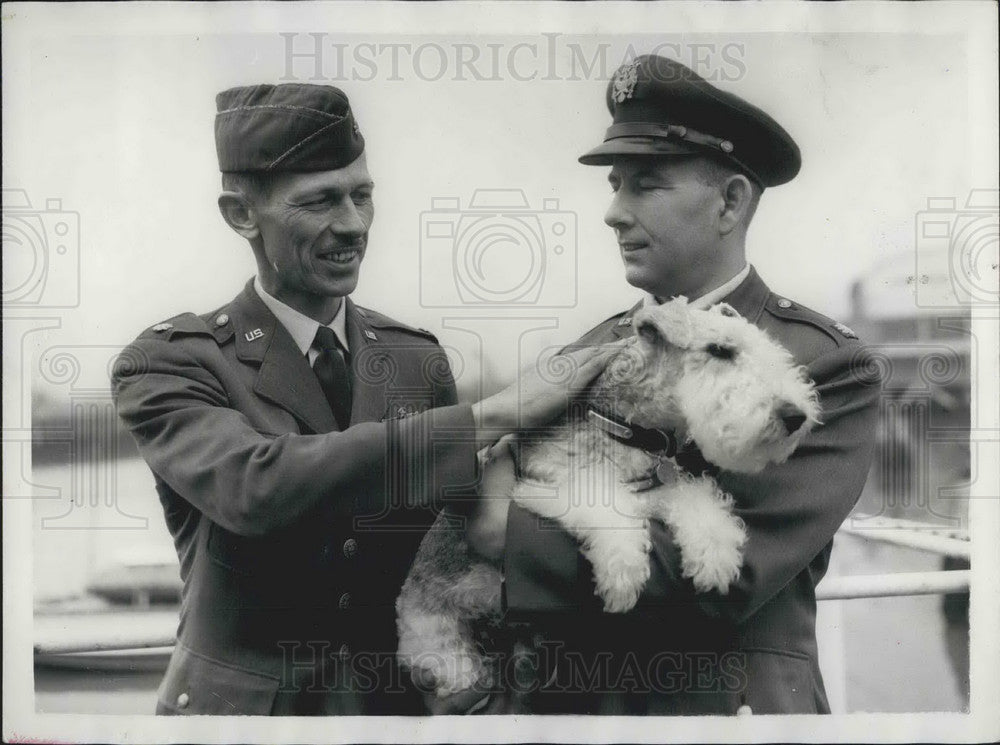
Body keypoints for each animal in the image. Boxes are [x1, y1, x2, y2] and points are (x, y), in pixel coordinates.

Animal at [396, 296, 820, 696]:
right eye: (719, 350)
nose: (795, 416)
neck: (626, 426)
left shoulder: (652, 488)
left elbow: (693, 501)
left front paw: (714, 557)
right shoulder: (548, 484)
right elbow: (609, 512)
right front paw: (622, 578)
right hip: (439, 642)